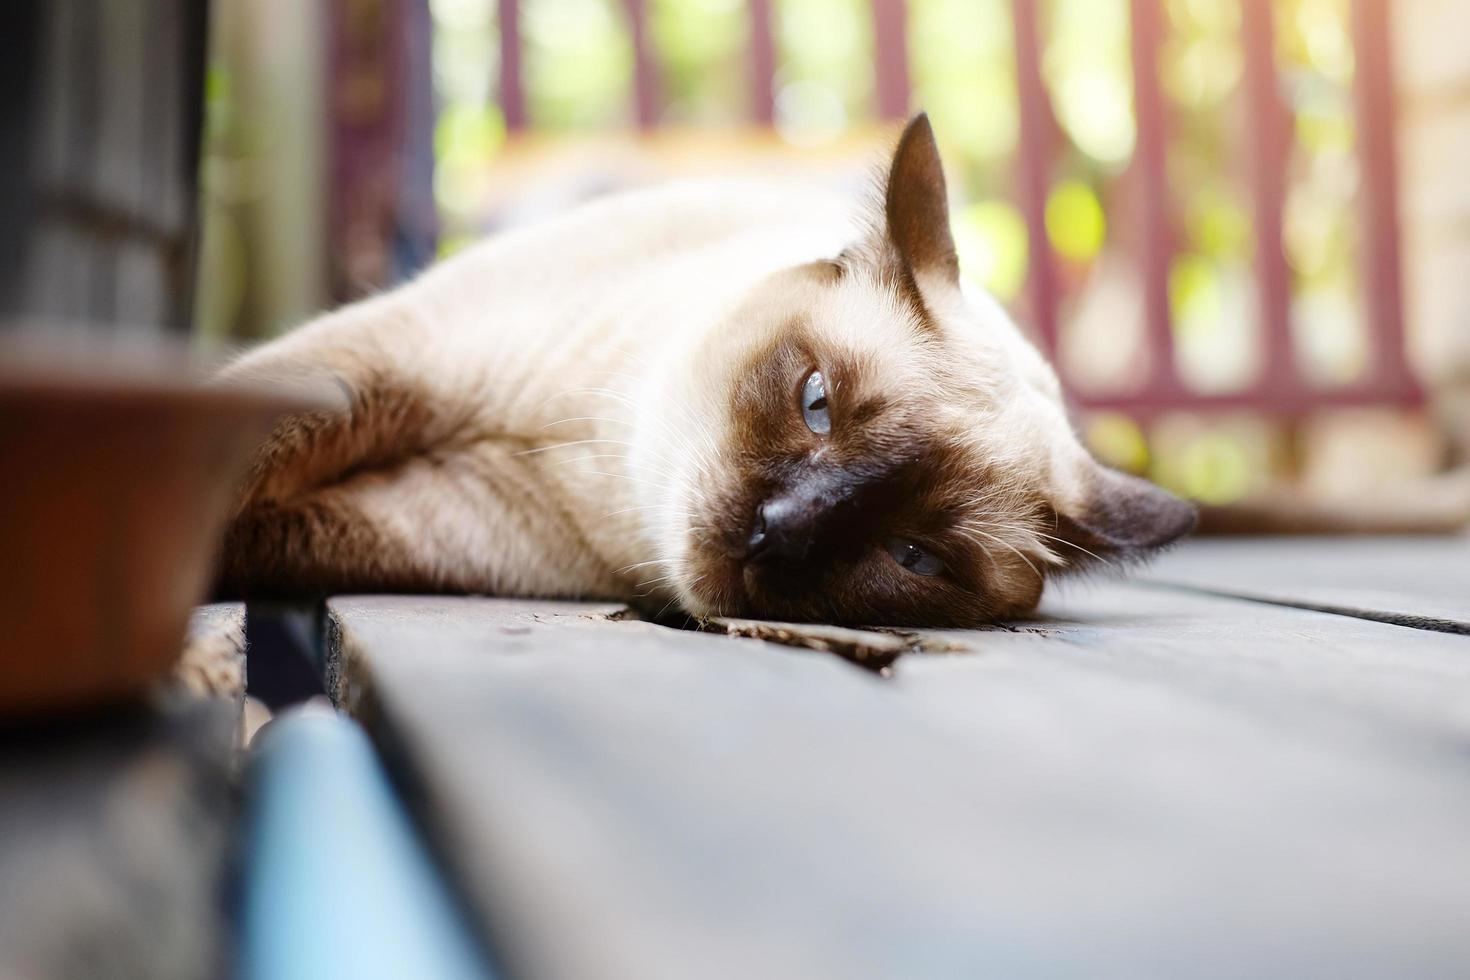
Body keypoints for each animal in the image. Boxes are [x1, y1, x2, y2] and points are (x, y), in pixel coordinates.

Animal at [223, 116, 1199, 628]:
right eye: (816, 404)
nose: (778, 532)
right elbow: (244, 451)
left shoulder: (428, 520)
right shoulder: (391, 360)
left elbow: (249, 530)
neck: (602, 454)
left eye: (912, 555)